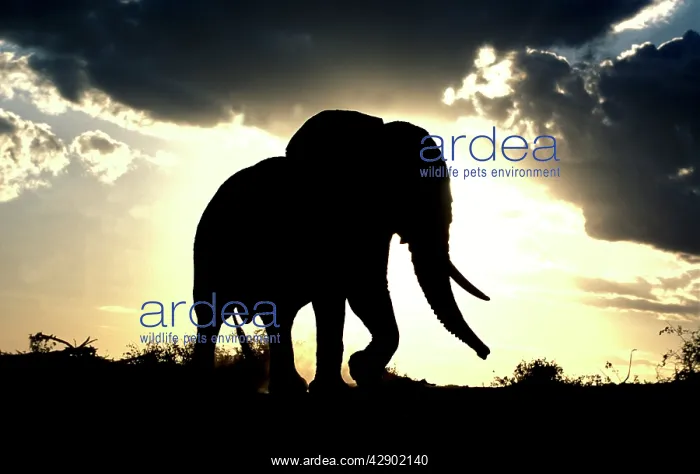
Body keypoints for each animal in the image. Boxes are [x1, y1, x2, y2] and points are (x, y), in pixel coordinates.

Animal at [191, 109, 491, 395]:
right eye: (411, 188)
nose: (485, 353)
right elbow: (341, 292)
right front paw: (346, 378)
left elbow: (365, 290)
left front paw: (360, 373)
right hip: (208, 247)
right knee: (211, 313)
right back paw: (209, 385)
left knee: (280, 313)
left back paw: (289, 387)